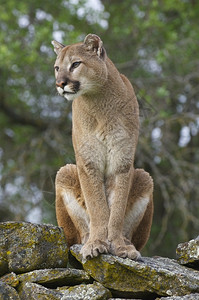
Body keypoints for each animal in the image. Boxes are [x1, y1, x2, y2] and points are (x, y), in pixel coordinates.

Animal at [51, 33, 154, 260]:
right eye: (57, 67)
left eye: (75, 64)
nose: (60, 83)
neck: (99, 102)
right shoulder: (89, 163)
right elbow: (97, 206)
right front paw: (96, 243)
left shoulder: (122, 161)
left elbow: (115, 211)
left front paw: (118, 245)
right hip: (65, 172)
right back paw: (87, 239)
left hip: (144, 176)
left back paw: (127, 243)